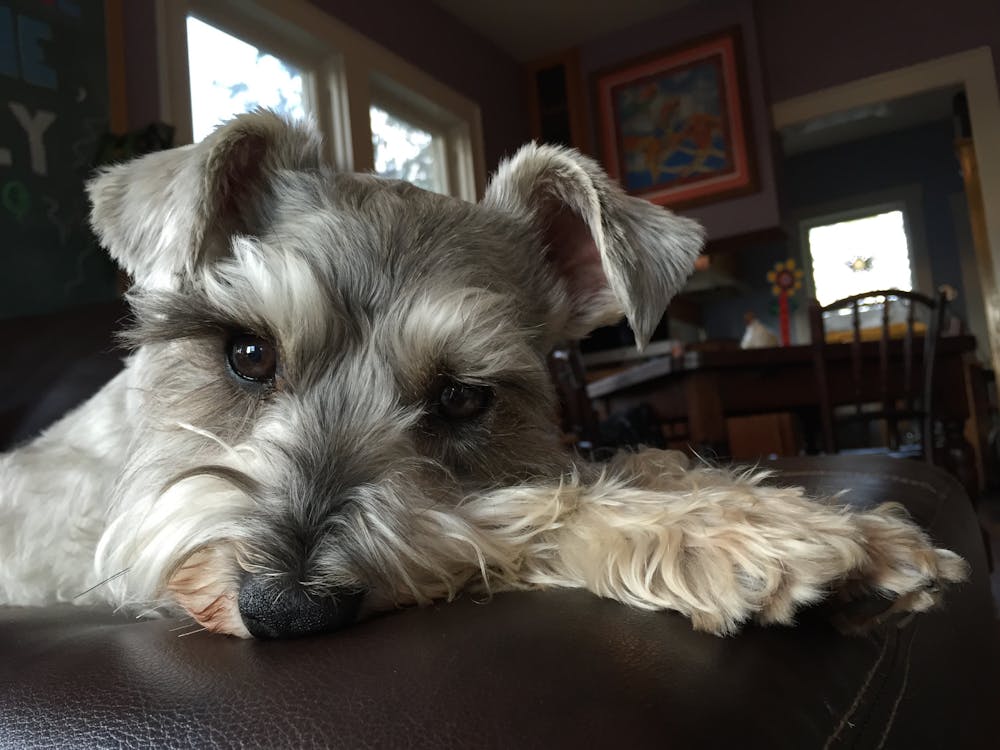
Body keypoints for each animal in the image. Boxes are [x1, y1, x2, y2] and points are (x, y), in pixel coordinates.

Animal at [0, 111, 968, 640]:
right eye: (247, 353)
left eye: (463, 396)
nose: (285, 611)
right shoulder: (117, 551)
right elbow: (529, 516)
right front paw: (743, 538)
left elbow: (608, 466)